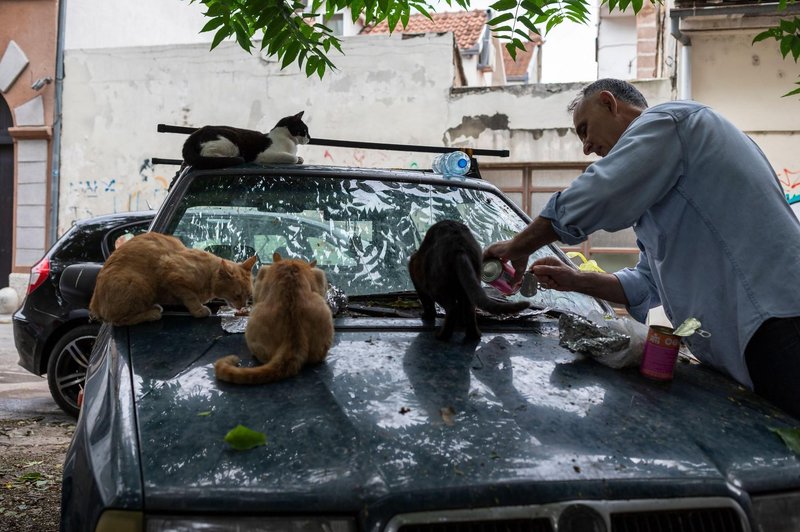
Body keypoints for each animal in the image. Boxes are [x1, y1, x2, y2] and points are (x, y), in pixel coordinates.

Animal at [92, 232, 258, 326]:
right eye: (237, 295)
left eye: (248, 296)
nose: (242, 306)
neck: (208, 275)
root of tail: (95, 304)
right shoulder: (170, 272)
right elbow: (190, 297)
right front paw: (199, 310)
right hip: (138, 282)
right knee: (117, 321)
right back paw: (152, 313)